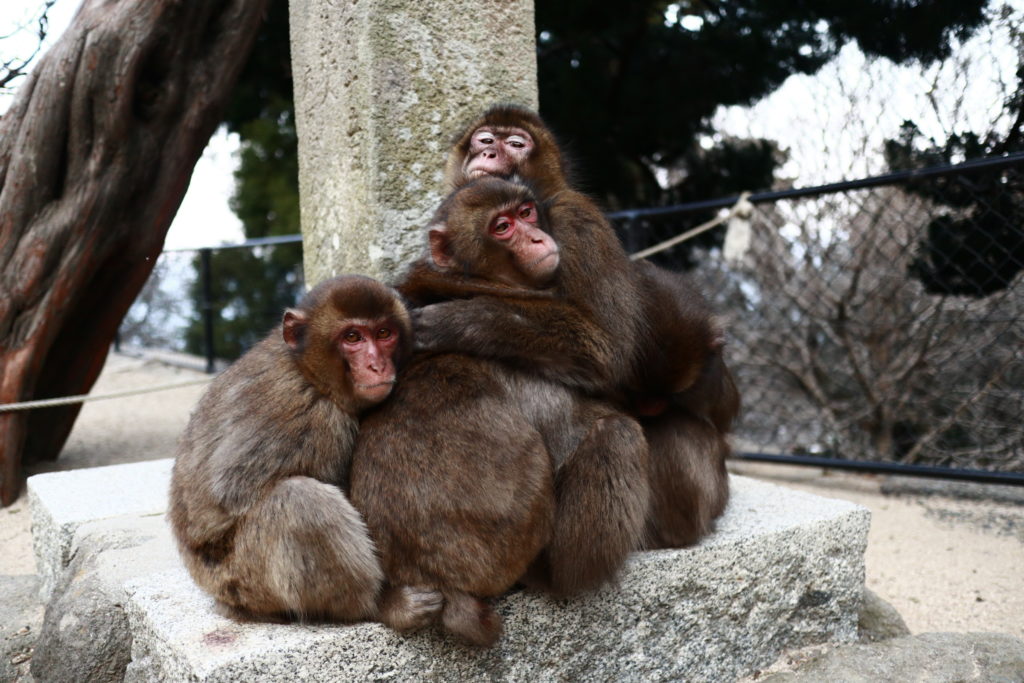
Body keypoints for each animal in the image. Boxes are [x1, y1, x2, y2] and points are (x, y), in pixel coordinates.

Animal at [167, 274, 411, 622]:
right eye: (352, 337)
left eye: (383, 333)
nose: (377, 365)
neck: (307, 371)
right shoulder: (314, 417)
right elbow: (233, 491)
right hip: (246, 580)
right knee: (298, 500)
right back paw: (376, 604)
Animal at [346, 178, 647, 647]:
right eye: (502, 227)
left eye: (526, 213)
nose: (538, 238)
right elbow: (604, 355)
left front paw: (459, 320)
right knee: (619, 435)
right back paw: (570, 579)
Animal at [415, 102, 737, 548]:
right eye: (485, 139)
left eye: (516, 143)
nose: (490, 153)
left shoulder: (577, 220)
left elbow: (608, 351)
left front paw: (464, 320)